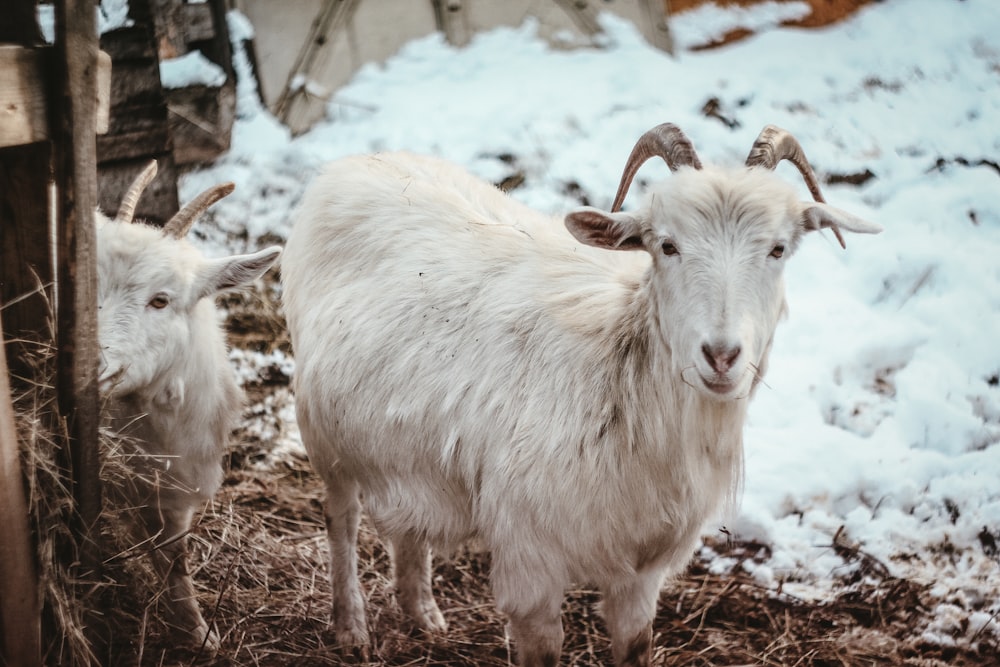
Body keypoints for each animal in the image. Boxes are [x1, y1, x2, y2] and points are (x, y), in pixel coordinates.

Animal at [282, 122, 884, 664]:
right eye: (666, 246)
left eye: (779, 249)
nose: (721, 355)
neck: (617, 374)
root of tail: (351, 164)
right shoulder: (529, 561)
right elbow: (544, 651)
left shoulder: (642, 574)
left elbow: (635, 648)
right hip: (325, 434)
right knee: (342, 520)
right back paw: (350, 627)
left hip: (408, 445)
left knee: (408, 522)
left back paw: (422, 611)